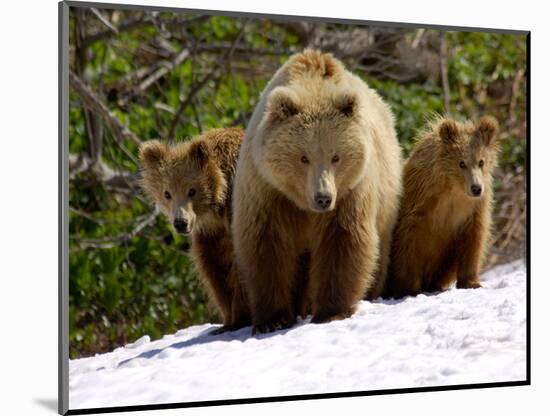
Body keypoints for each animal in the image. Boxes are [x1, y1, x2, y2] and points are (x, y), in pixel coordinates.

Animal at [139, 128, 251, 334]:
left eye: (192, 190)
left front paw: (240, 318)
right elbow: (214, 270)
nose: (180, 223)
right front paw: (227, 321)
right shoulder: (210, 234)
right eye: (167, 193)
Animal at [231, 49, 404, 334]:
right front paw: (272, 319)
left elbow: (342, 239)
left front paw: (331, 311)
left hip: (386, 200)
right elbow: (266, 246)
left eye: (336, 156)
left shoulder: (350, 191)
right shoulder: (267, 190)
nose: (323, 198)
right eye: (303, 157)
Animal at [386, 116, 502, 300]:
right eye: (462, 163)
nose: (476, 188)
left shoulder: (473, 209)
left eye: (481, 161)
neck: (453, 189)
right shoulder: (421, 203)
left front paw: (472, 282)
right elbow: (409, 242)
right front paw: (410, 288)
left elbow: (474, 239)